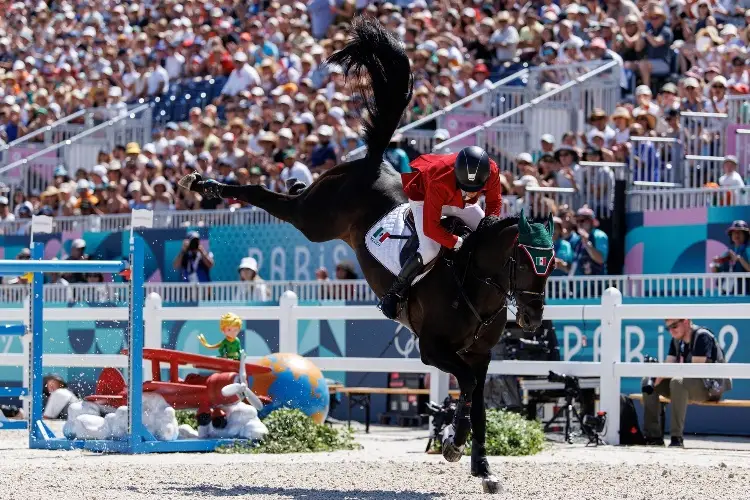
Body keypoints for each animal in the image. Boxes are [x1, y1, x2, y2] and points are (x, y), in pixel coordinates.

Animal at [183, 17, 556, 494]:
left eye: (551, 262)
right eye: (523, 261)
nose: (532, 319)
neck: (474, 287)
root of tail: (373, 160)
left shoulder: (482, 356)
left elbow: (477, 399)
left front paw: (482, 467)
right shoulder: (432, 350)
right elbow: (469, 387)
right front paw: (453, 444)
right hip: (314, 221)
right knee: (270, 197)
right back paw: (209, 185)